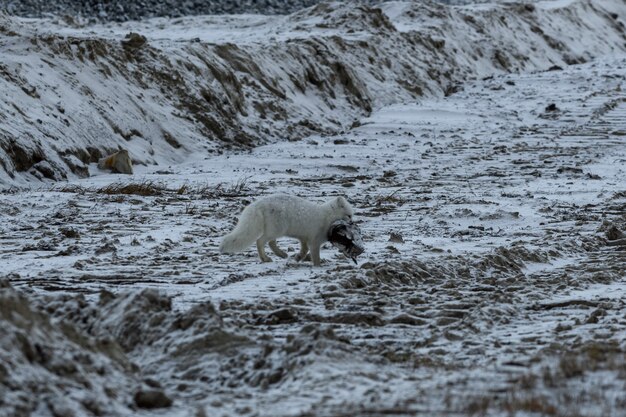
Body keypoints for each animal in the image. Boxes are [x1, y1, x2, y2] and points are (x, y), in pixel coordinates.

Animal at [218, 193, 352, 264]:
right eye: (349, 215)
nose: (352, 222)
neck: (327, 216)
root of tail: (258, 204)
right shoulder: (314, 240)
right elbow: (315, 256)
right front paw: (317, 266)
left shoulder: (304, 238)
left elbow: (304, 250)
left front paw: (298, 258)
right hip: (277, 230)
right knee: (260, 241)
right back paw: (266, 258)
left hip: (275, 230)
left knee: (270, 243)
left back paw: (281, 255)